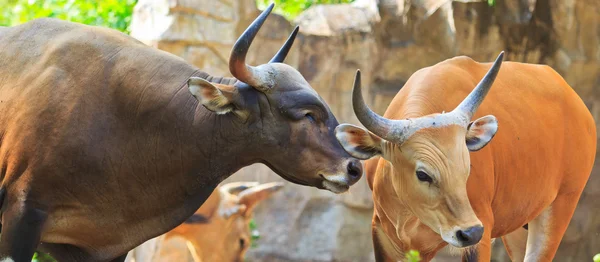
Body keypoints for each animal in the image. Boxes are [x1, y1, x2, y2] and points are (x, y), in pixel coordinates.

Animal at [338, 52, 596, 260]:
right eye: (422, 174)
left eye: (467, 168)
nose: (470, 232)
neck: (410, 215)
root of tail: (580, 110)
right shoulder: (386, 237)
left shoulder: (481, 231)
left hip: (561, 205)